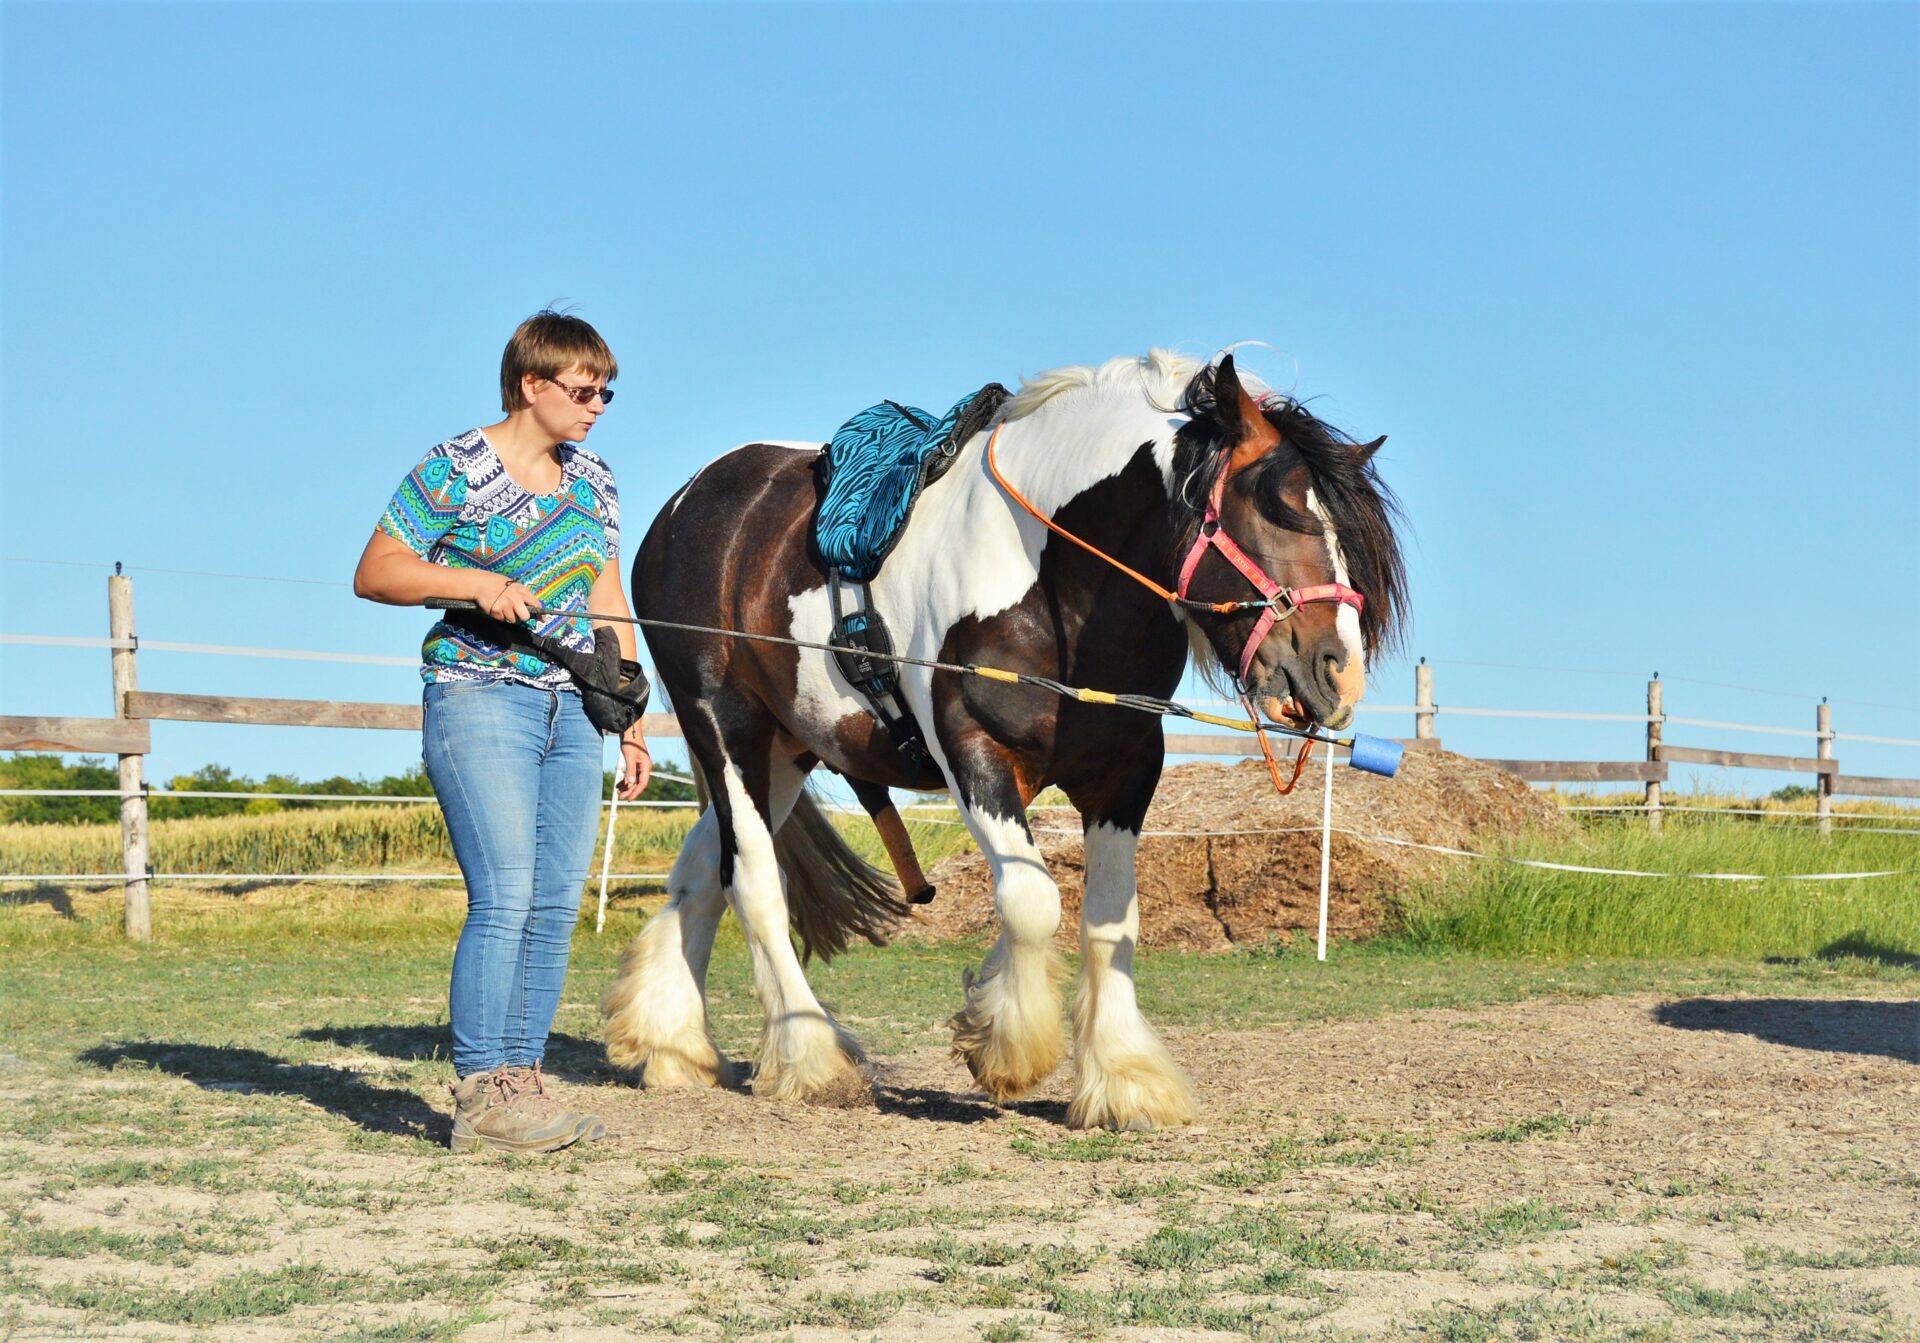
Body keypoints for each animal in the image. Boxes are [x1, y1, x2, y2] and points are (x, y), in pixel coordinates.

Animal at [601, 350, 1407, 1130]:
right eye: (1272, 511)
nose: (1339, 671)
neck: (1050, 584)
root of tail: (686, 504)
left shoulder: (1124, 771)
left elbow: (1110, 920)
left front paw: (1122, 1077)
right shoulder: (974, 752)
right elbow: (1032, 901)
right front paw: (1005, 1047)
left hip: (782, 752)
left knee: (702, 870)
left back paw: (670, 1044)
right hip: (723, 725)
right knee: (754, 882)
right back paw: (811, 1059)